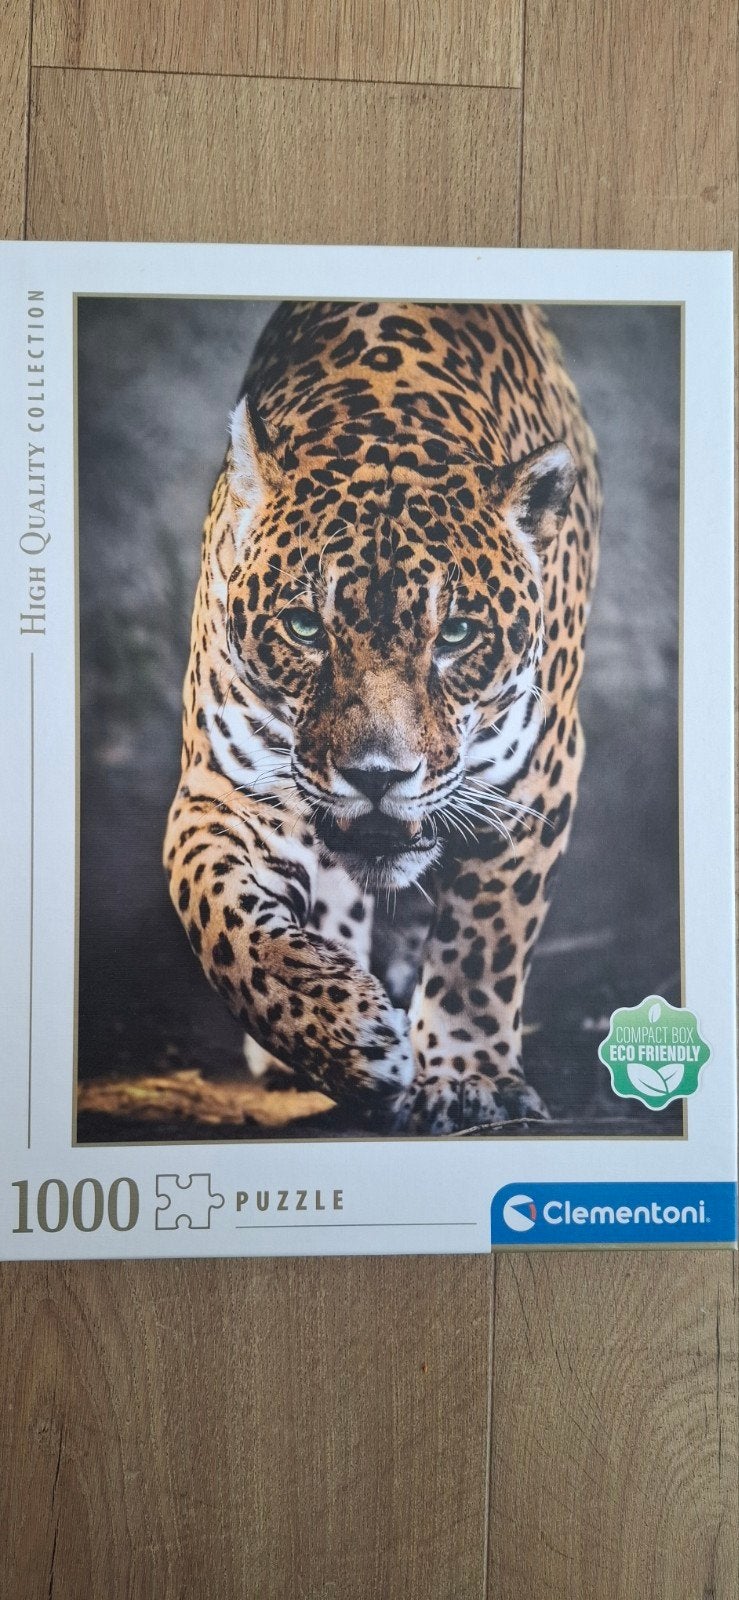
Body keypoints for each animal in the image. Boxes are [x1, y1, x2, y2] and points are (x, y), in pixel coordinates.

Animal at [163, 300, 601, 1134]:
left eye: (455, 634)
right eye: (305, 628)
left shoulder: (533, 784)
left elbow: (481, 945)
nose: (376, 777)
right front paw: (341, 1035)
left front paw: (467, 1078)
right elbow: (222, 921)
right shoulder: (224, 791)